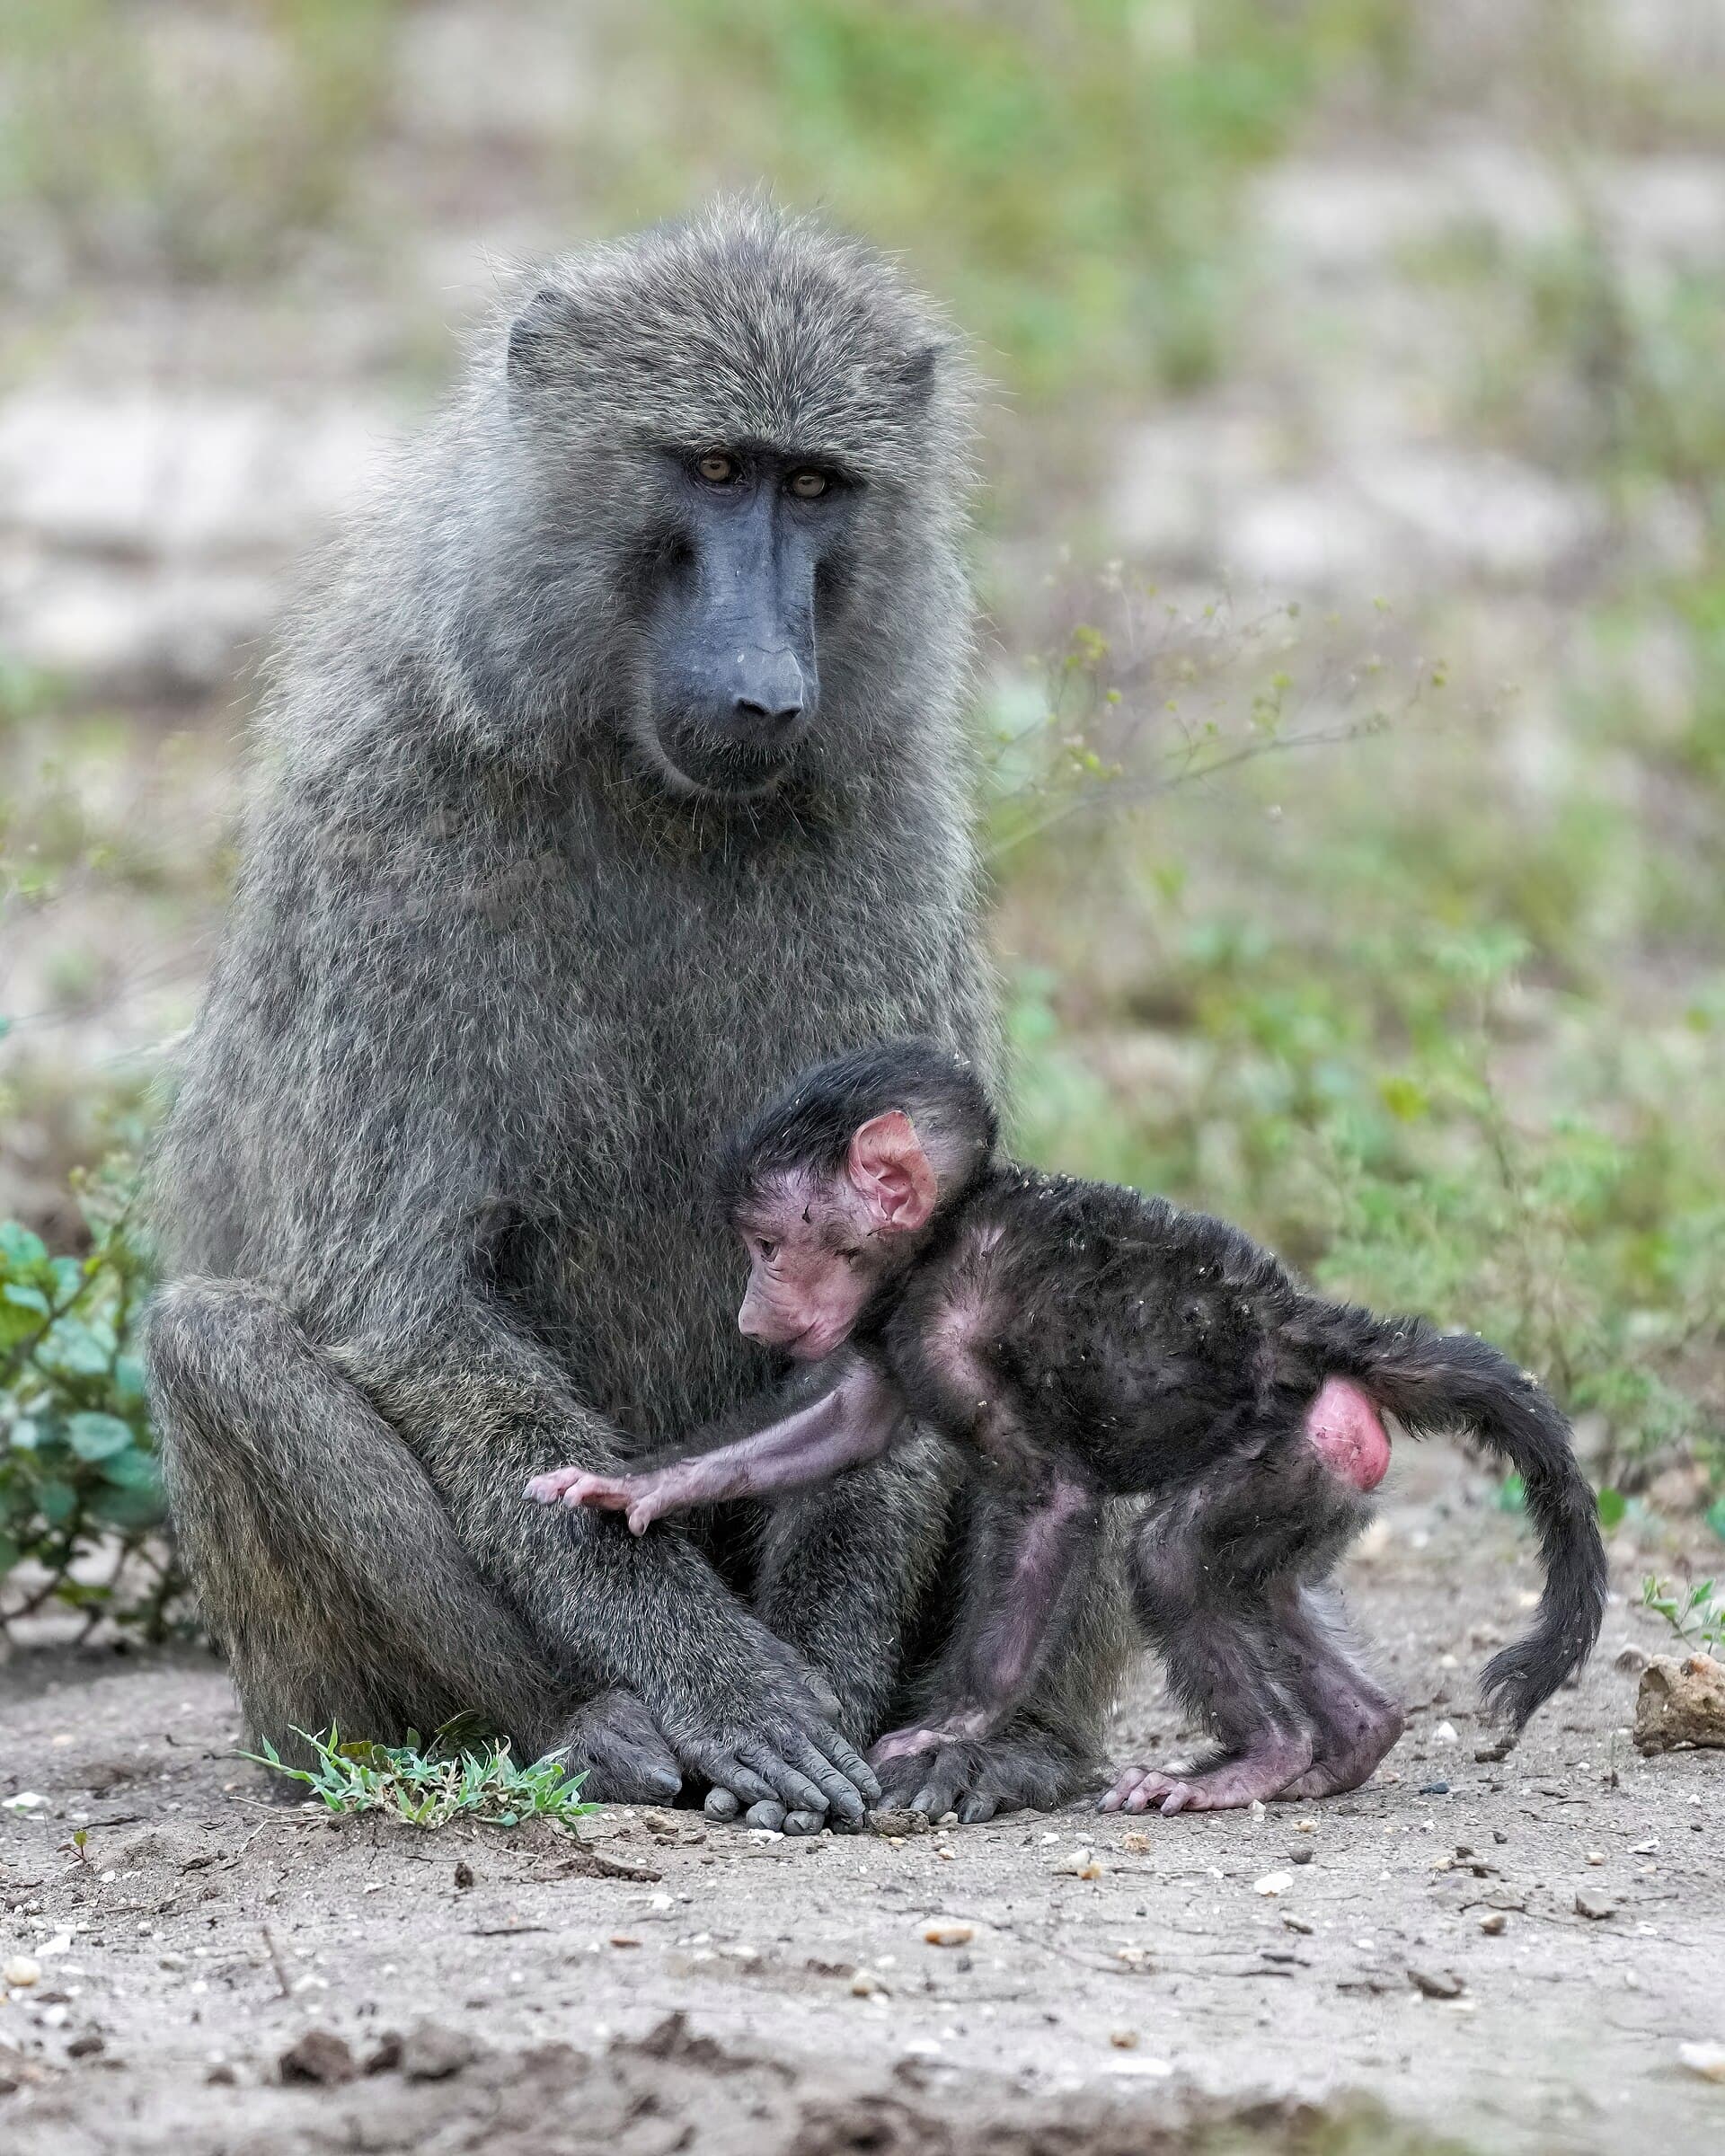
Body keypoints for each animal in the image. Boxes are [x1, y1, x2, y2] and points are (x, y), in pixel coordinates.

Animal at [143, 199, 1137, 1838]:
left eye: (816, 485)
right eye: (716, 469)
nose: (767, 688)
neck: (637, 783)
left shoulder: (887, 824)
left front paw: (825, 1669)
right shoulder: (380, 824)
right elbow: (413, 1310)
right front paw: (735, 1690)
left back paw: (1003, 1742)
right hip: (303, 1700)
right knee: (214, 1343)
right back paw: (580, 1725)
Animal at [531, 1037, 1608, 1814]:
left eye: (765, 1246)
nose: (753, 1316)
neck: (942, 1232)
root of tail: (1314, 1332)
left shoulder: (947, 1325)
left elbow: (1049, 1498)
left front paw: (959, 1725)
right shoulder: (895, 1332)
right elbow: (844, 1427)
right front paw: (633, 1486)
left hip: (1282, 1454)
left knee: (1170, 1557)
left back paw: (1264, 1759)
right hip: (1326, 1475)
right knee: (1268, 1589)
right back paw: (1353, 1741)